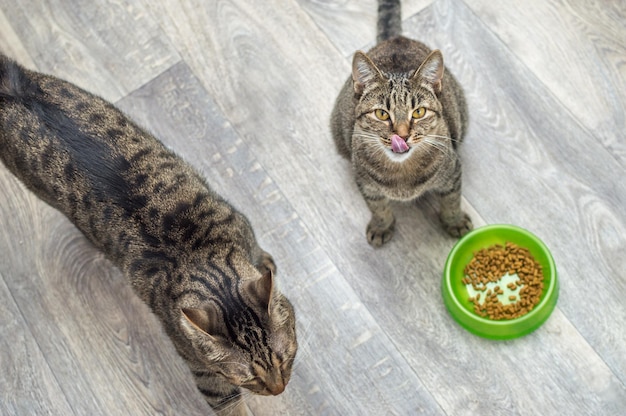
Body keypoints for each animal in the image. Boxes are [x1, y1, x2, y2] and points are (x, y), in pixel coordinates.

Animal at [0, 55, 296, 416]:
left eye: (285, 358)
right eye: (249, 378)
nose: (279, 389)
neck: (197, 253)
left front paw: (265, 261)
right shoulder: (202, 369)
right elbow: (226, 402)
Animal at [330, 0, 470, 247]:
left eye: (419, 112)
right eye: (382, 114)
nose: (402, 136)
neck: (402, 173)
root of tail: (396, 38)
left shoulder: (453, 170)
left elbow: (452, 200)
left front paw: (455, 221)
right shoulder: (365, 184)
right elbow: (377, 207)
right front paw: (381, 225)